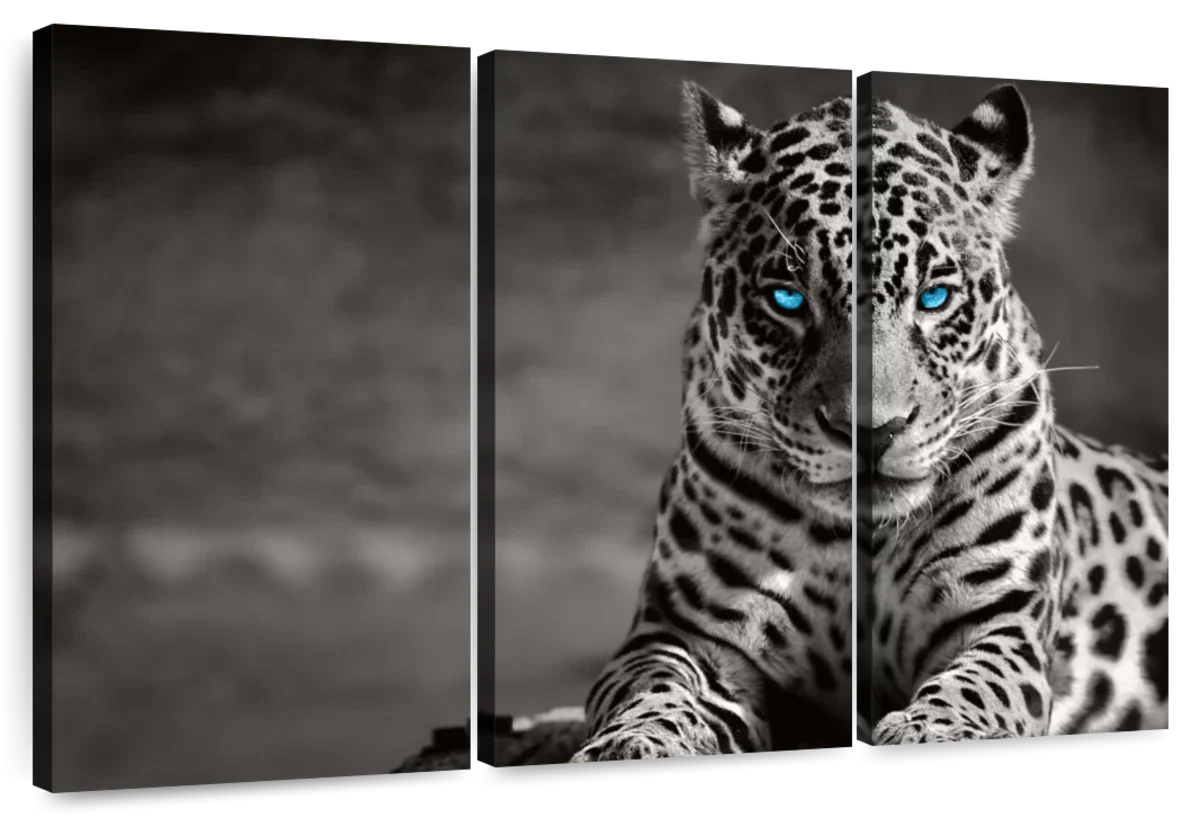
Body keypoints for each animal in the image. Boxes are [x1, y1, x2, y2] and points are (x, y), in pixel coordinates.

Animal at [569, 80, 1174, 760]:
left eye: (934, 297)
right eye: (787, 299)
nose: (870, 433)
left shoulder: (999, 619)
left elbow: (977, 684)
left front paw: (935, 728)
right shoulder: (684, 631)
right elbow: (652, 692)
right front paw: (629, 745)